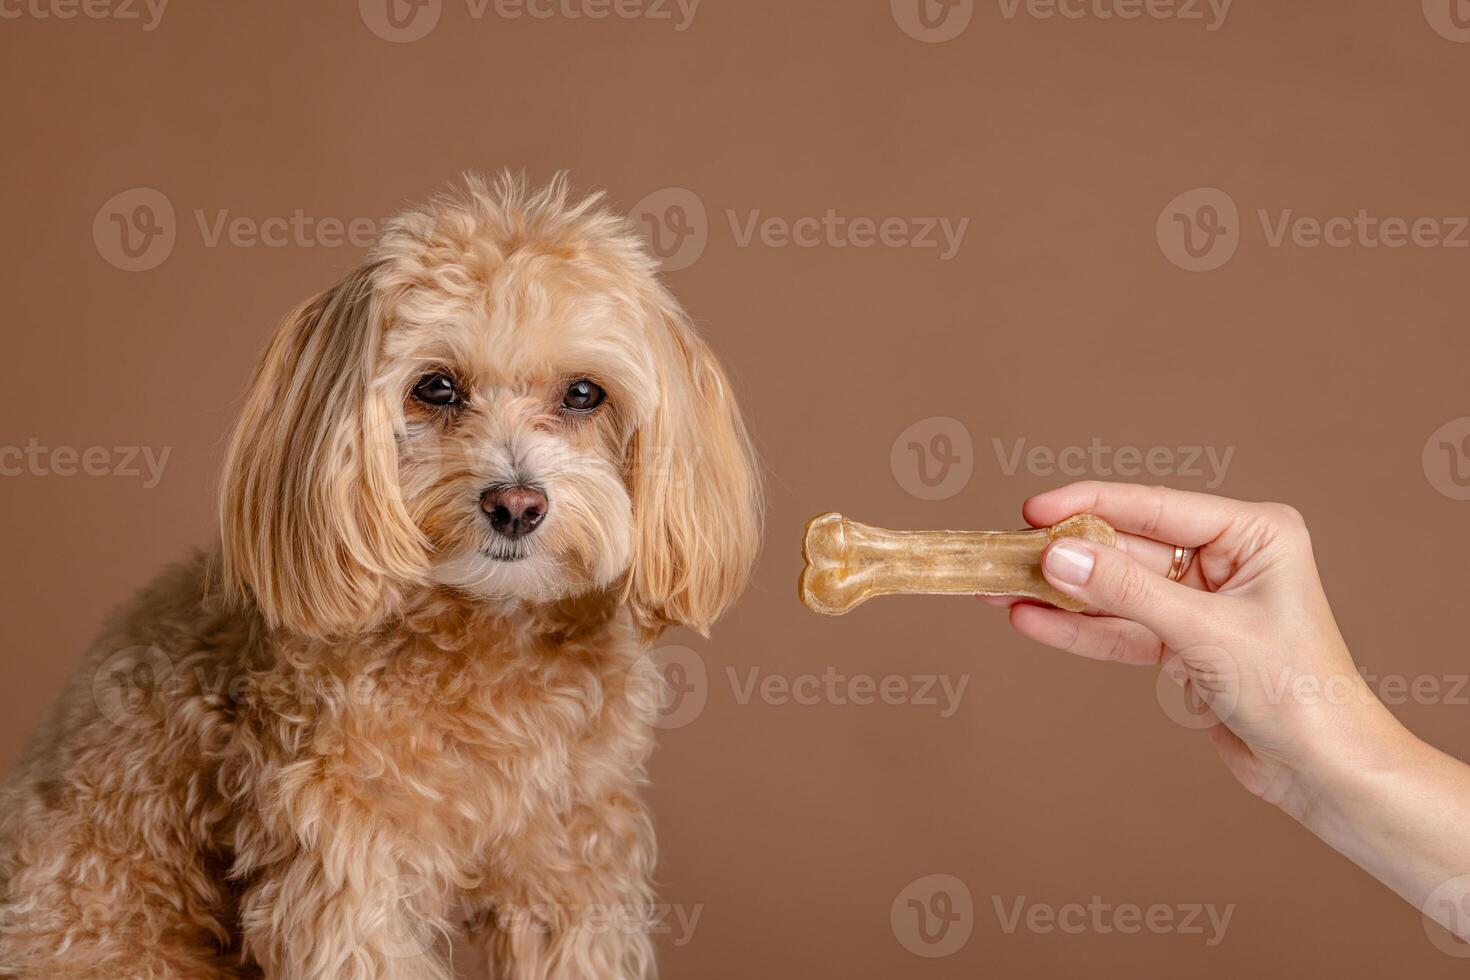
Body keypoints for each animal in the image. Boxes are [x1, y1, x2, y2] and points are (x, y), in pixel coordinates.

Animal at [0, 176, 764, 980]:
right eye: (437, 387)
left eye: (584, 394)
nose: (515, 505)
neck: (489, 629)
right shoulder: (343, 860)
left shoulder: (573, 858)